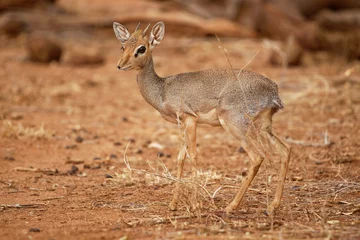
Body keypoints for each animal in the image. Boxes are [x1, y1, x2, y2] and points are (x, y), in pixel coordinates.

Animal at [114, 21, 292, 215]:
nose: (120, 65)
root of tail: (273, 90)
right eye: (123, 46)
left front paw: (194, 204)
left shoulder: (190, 119)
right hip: (263, 126)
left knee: (258, 156)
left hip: (235, 125)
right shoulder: (182, 124)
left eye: (142, 48)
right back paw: (273, 205)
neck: (162, 90)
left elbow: (193, 156)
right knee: (285, 150)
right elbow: (180, 159)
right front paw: (174, 204)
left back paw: (231, 206)